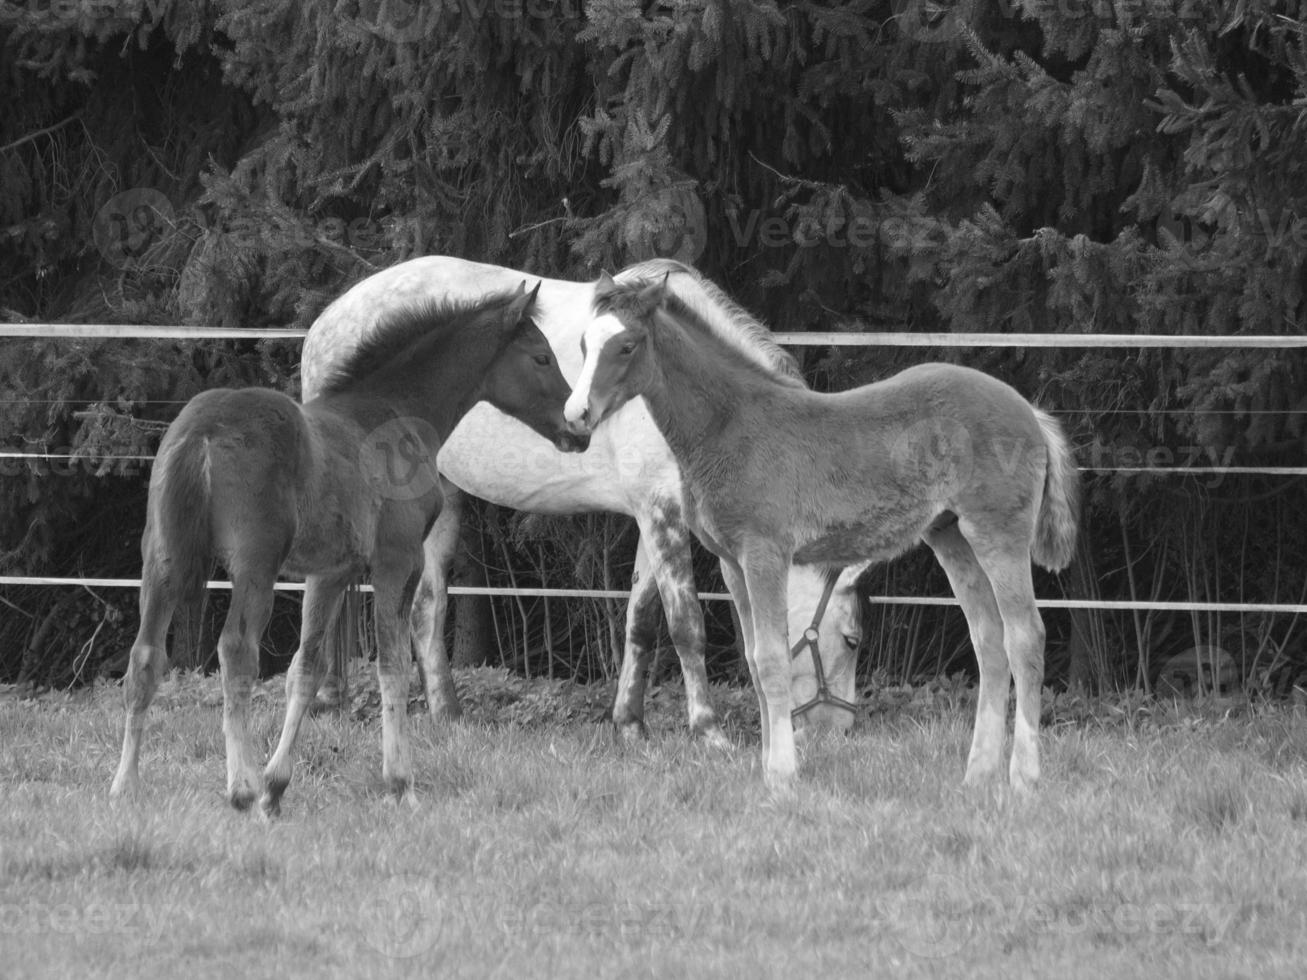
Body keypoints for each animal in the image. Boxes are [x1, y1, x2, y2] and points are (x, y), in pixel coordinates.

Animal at [113, 286, 588, 815]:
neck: (392, 413)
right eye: (542, 356)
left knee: (145, 655)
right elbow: (392, 665)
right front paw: (401, 784)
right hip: (255, 563)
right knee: (236, 649)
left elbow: (306, 668)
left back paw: (125, 787)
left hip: (163, 557)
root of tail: (202, 430)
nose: (579, 429)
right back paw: (241, 787)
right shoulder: (398, 560)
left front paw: (277, 788)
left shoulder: (330, 572)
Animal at [303, 257, 867, 742]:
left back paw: (447, 714)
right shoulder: (662, 511)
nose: (839, 732)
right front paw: (708, 731)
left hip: (440, 495)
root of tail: (324, 322)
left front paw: (630, 725)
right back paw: (331, 702)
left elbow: (642, 621)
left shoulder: (655, 516)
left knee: (426, 605)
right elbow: (687, 624)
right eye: (853, 640)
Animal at [567, 273, 1076, 794]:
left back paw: (1023, 777)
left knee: (1025, 637)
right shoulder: (732, 563)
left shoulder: (765, 553)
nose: (576, 414)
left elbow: (772, 659)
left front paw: (782, 776)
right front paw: (768, 767)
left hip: (998, 533)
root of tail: (1030, 411)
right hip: (951, 537)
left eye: (627, 345)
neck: (732, 426)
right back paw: (977, 775)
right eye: (584, 344)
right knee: (989, 641)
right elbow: (753, 660)